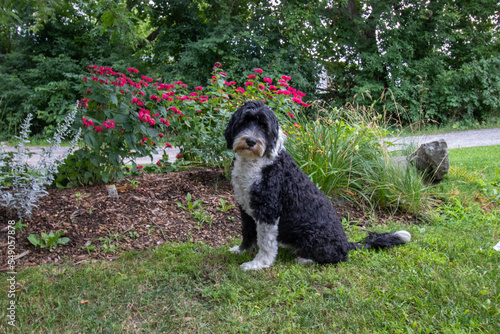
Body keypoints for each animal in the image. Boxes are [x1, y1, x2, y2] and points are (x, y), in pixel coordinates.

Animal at [226, 100, 410, 270]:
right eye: (244, 121)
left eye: (264, 126)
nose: (251, 141)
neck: (256, 162)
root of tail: (346, 244)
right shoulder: (246, 208)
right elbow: (247, 232)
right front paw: (242, 250)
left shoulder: (268, 210)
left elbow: (265, 242)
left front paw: (258, 263)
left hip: (311, 233)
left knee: (337, 257)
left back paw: (305, 259)